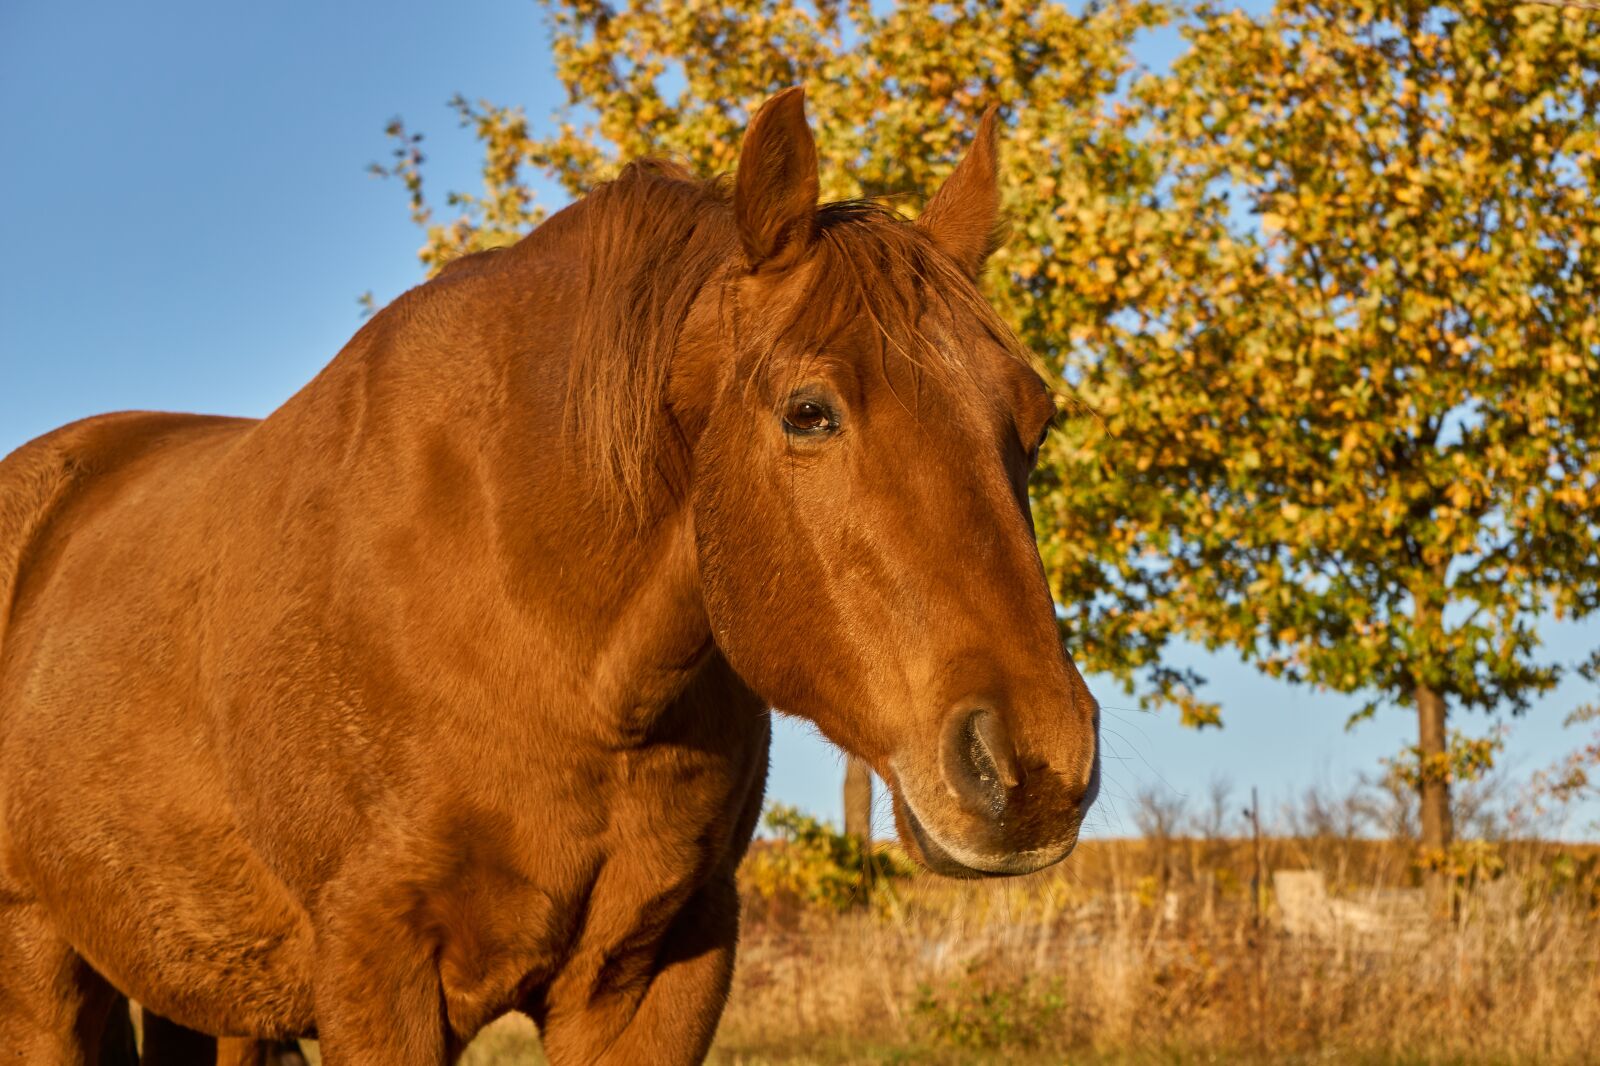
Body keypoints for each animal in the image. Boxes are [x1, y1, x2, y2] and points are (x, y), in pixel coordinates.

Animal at [0, 91, 1100, 1062]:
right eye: (808, 411)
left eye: (1038, 419)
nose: (1037, 765)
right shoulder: (376, 972)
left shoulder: (658, 976)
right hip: (37, 963)